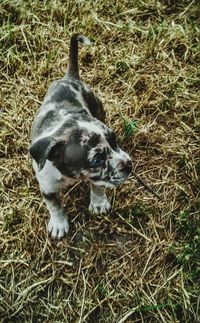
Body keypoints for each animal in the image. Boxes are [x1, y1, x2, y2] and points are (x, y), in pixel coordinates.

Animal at [29, 34, 132, 239]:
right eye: (97, 159)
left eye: (114, 140)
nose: (129, 164)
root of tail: (70, 77)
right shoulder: (47, 187)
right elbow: (54, 206)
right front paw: (59, 224)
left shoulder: (97, 178)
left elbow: (98, 186)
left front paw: (98, 203)